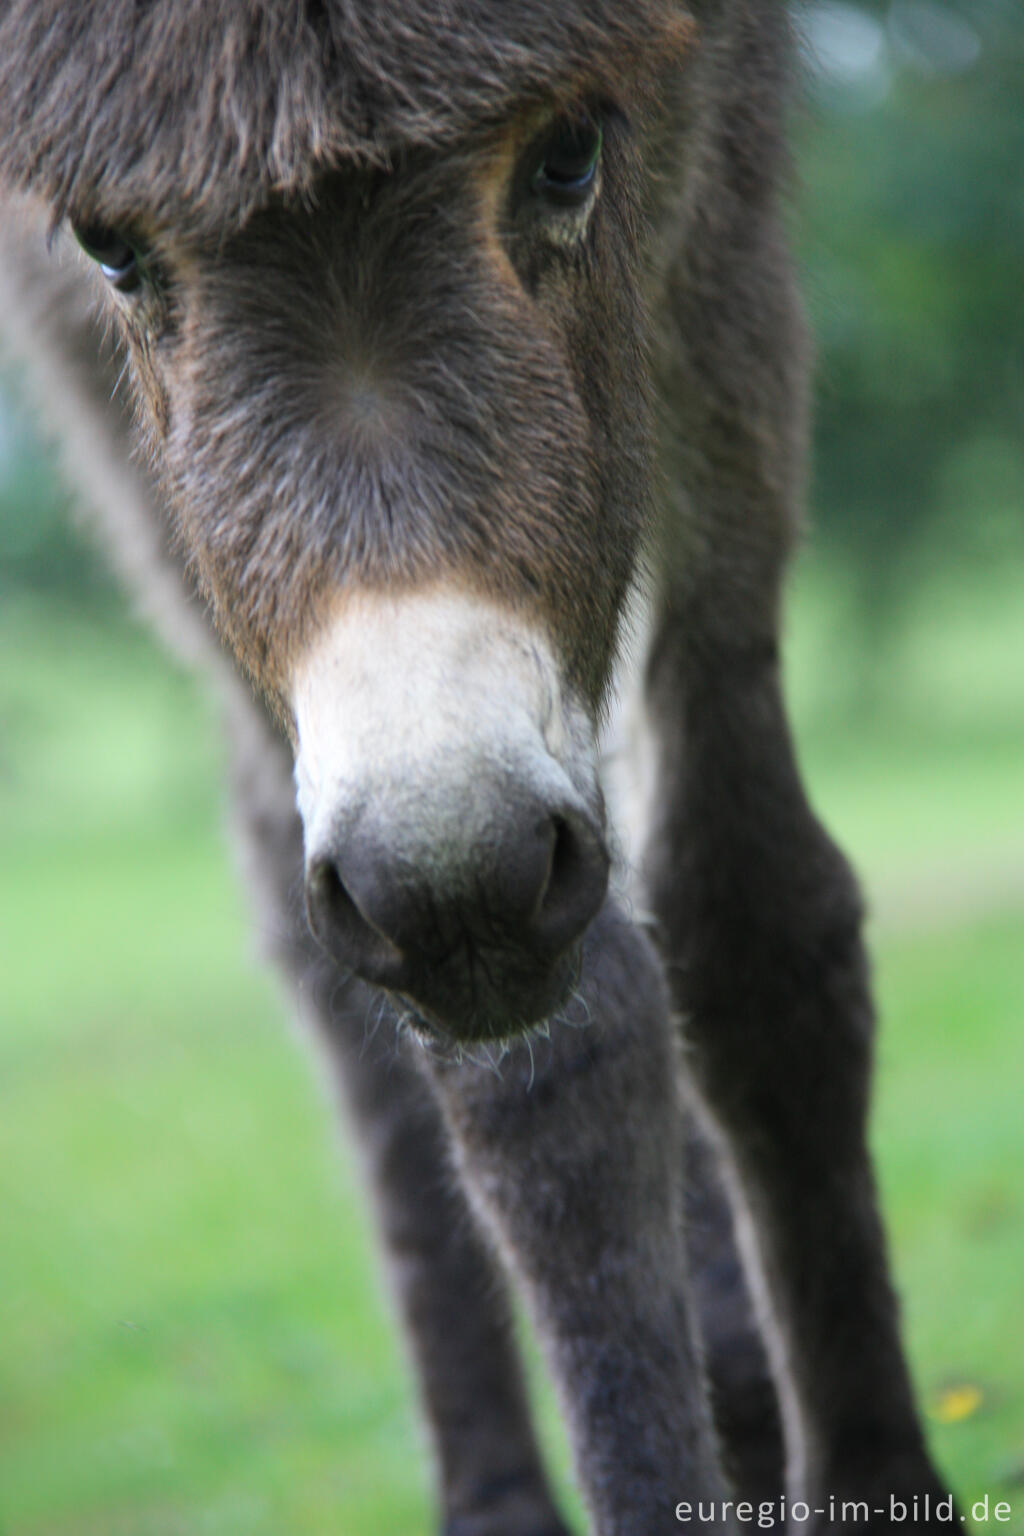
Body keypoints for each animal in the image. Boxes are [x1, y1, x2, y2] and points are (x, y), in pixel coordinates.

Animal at [2, 0, 951, 1529]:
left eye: (568, 158)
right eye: (107, 245)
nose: (454, 887)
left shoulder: (716, 217)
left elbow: (754, 925)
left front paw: (869, 1471)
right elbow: (549, 1066)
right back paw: (509, 1485)